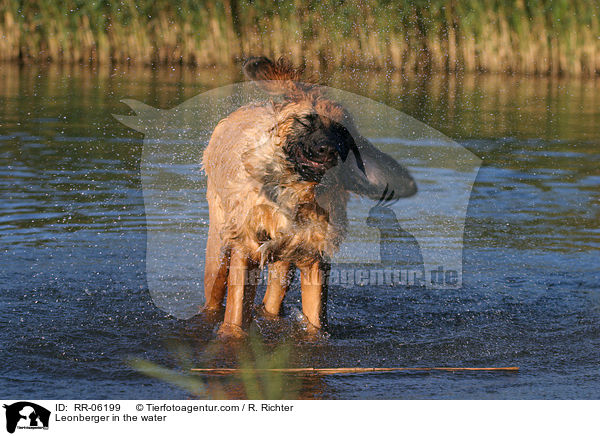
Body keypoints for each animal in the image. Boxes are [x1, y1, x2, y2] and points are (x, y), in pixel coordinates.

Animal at [202, 57, 418, 338]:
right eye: (307, 122)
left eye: (342, 132)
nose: (329, 150)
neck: (296, 194)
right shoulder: (245, 249)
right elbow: (236, 316)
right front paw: (231, 335)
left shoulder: (313, 257)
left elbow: (316, 320)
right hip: (219, 249)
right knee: (215, 292)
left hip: (283, 264)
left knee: (272, 300)